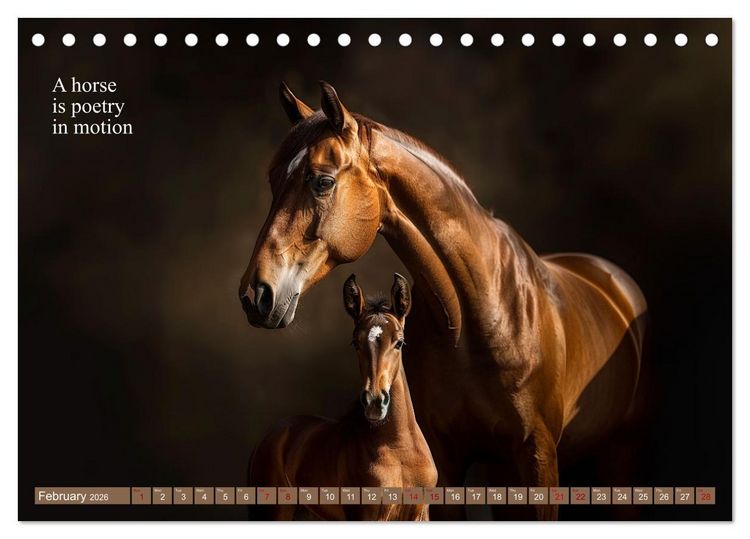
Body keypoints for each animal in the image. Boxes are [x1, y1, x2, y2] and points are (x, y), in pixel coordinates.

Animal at [248, 273, 437, 520]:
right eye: (355, 343)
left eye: (399, 342)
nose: (375, 402)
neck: (399, 449)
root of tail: (272, 435)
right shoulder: (364, 515)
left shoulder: (421, 513)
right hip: (274, 512)